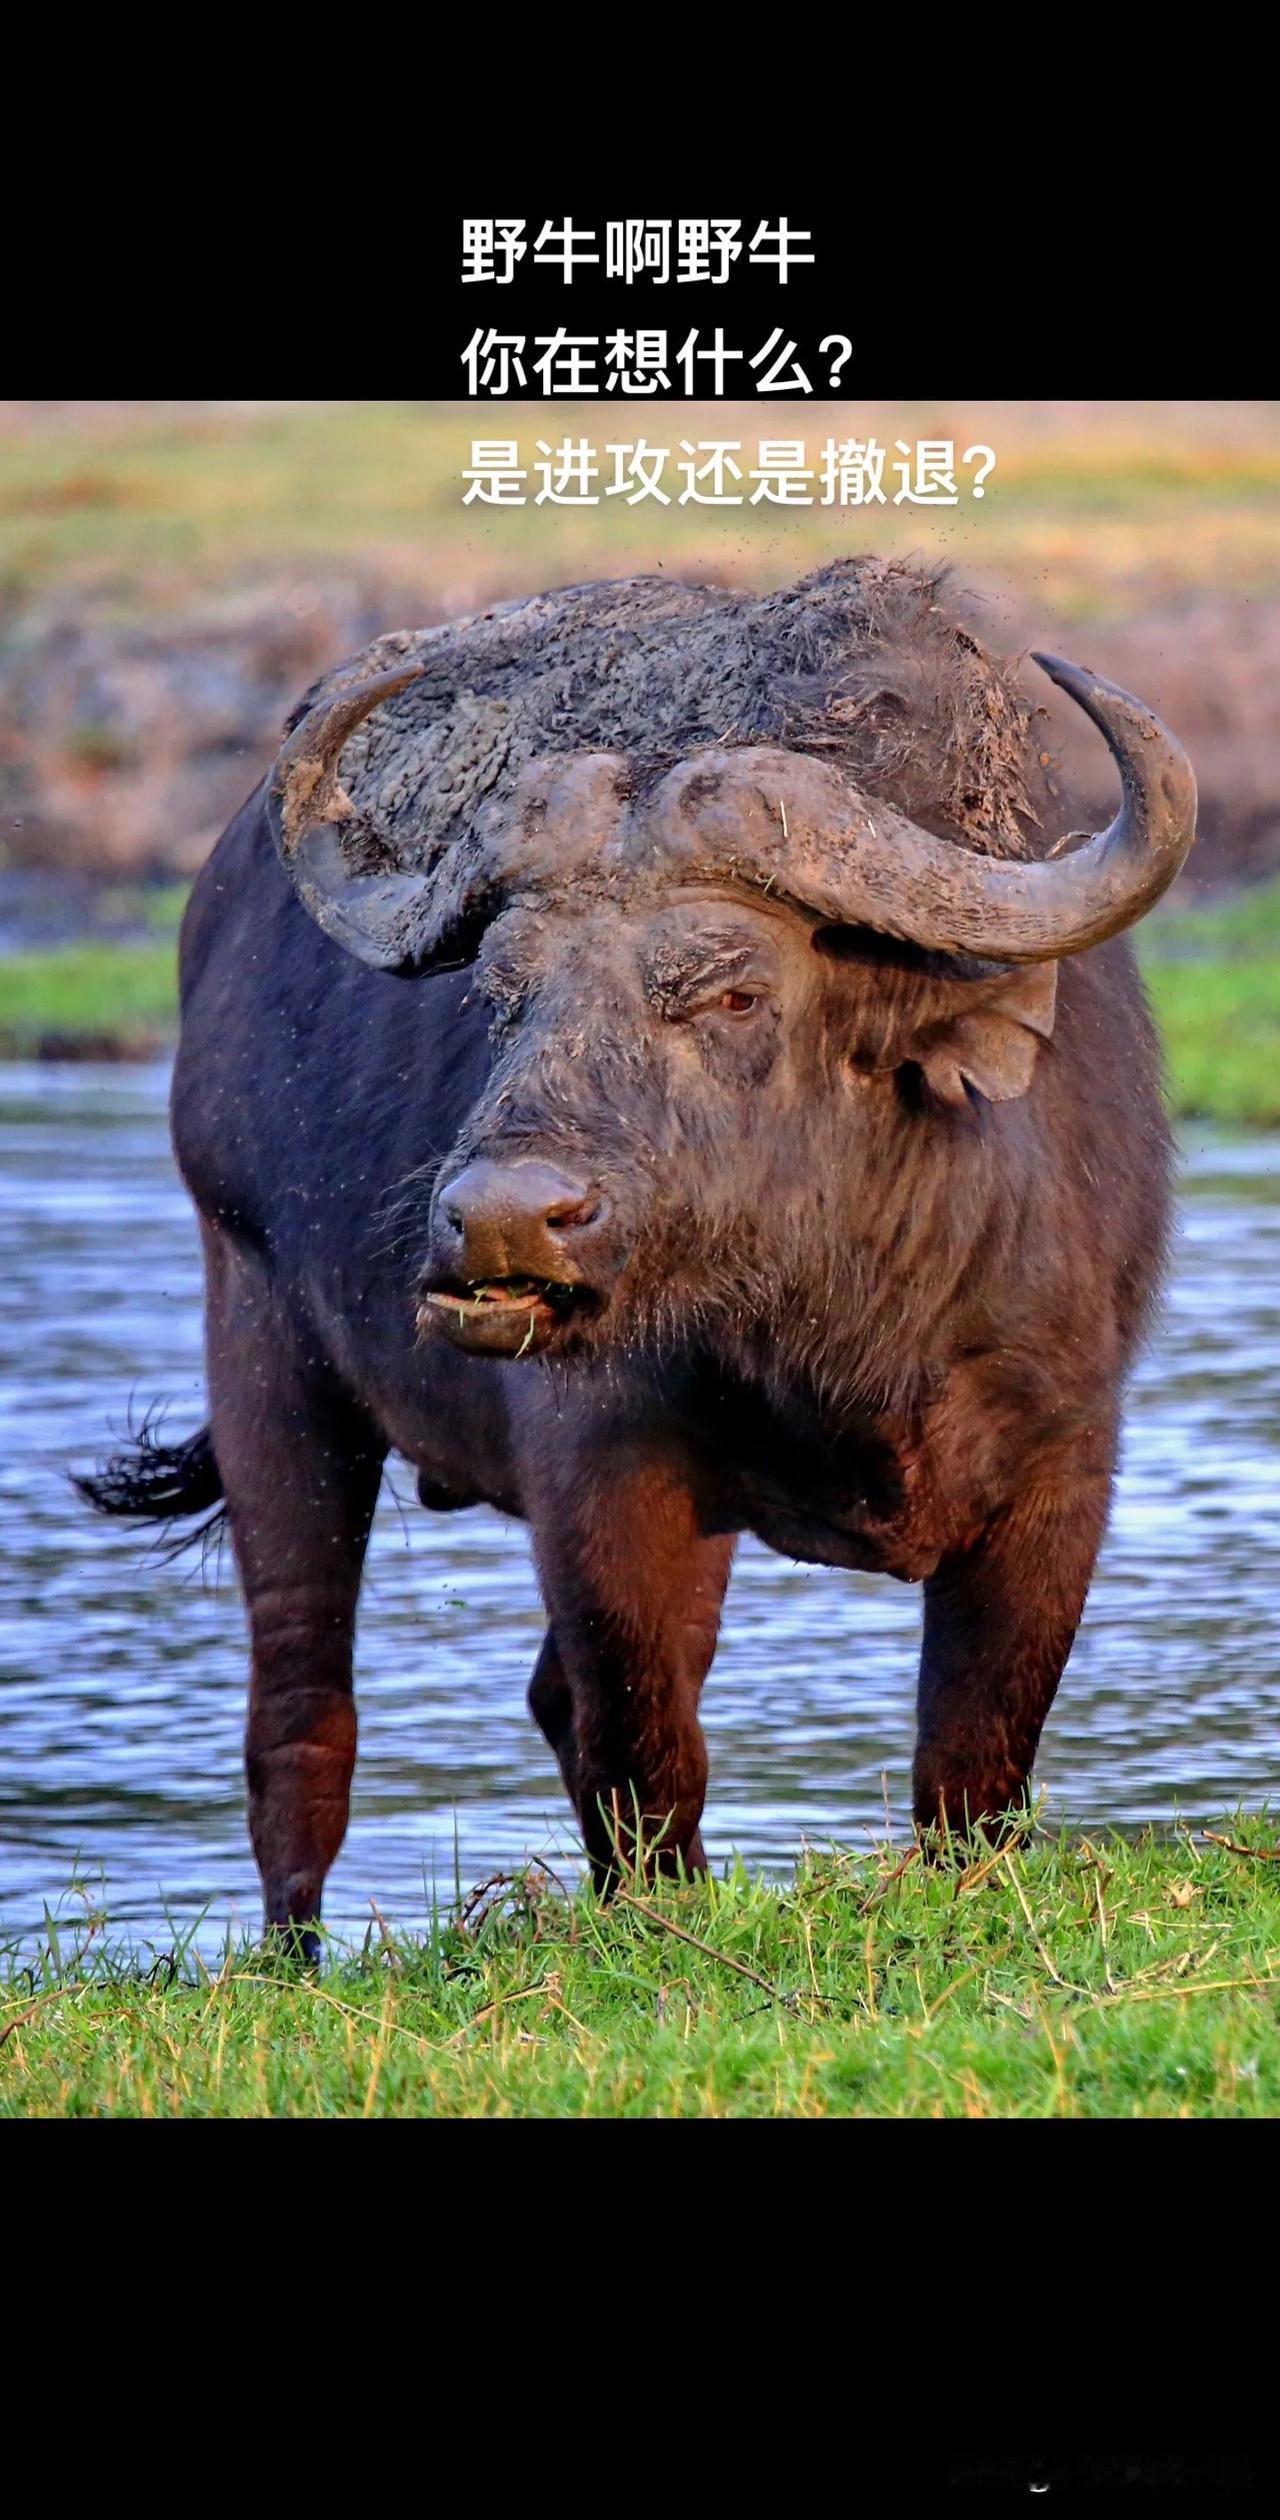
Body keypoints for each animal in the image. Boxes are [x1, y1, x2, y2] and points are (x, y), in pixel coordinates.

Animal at [82, 567, 1199, 1945]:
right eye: (500, 994)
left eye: (731, 992)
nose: (501, 1219)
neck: (836, 1310)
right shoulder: (597, 1474)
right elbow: (643, 1746)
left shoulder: (1058, 1472)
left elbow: (973, 1761)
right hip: (262, 1346)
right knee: (301, 1709)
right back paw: (293, 1956)